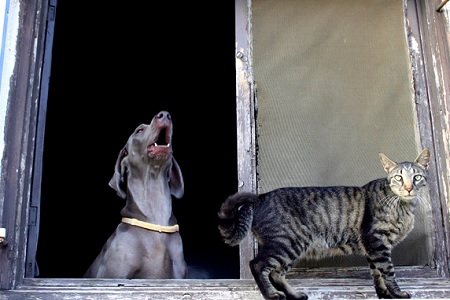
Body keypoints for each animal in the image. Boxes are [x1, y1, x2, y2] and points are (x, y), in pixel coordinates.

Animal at [220, 149, 430, 298]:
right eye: (398, 178)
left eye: (417, 177)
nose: (409, 188)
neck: (404, 206)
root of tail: (260, 198)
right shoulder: (377, 241)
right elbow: (388, 271)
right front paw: (397, 293)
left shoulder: (372, 248)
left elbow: (376, 273)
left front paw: (384, 294)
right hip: (287, 243)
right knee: (257, 265)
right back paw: (271, 295)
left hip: (294, 247)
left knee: (277, 273)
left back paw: (295, 295)